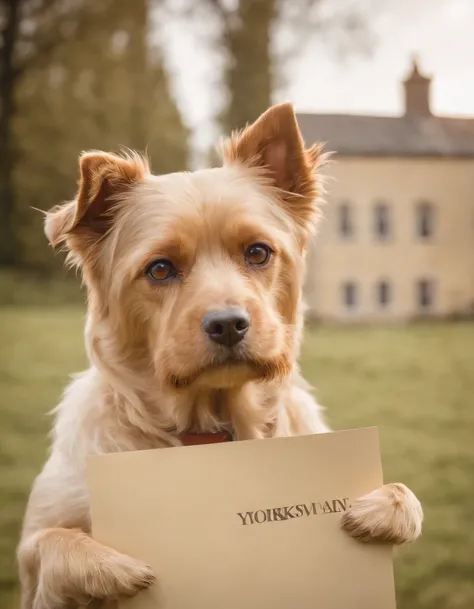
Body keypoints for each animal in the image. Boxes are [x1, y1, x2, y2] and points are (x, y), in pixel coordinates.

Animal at [17, 104, 422, 608]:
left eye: (258, 252)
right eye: (160, 268)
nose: (228, 324)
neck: (209, 425)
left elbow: (406, 494)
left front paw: (387, 507)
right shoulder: (34, 564)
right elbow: (52, 542)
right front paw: (107, 565)